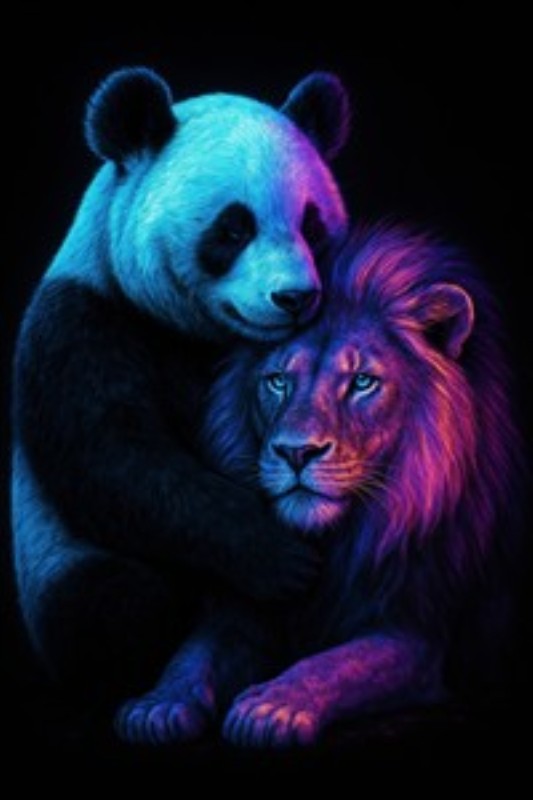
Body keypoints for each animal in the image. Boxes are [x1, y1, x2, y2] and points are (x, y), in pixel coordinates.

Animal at [11, 67, 350, 730]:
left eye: (312, 227)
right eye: (235, 227)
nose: (295, 298)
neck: (201, 337)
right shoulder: (85, 323)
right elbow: (116, 462)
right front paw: (279, 557)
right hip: (51, 557)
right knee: (110, 602)